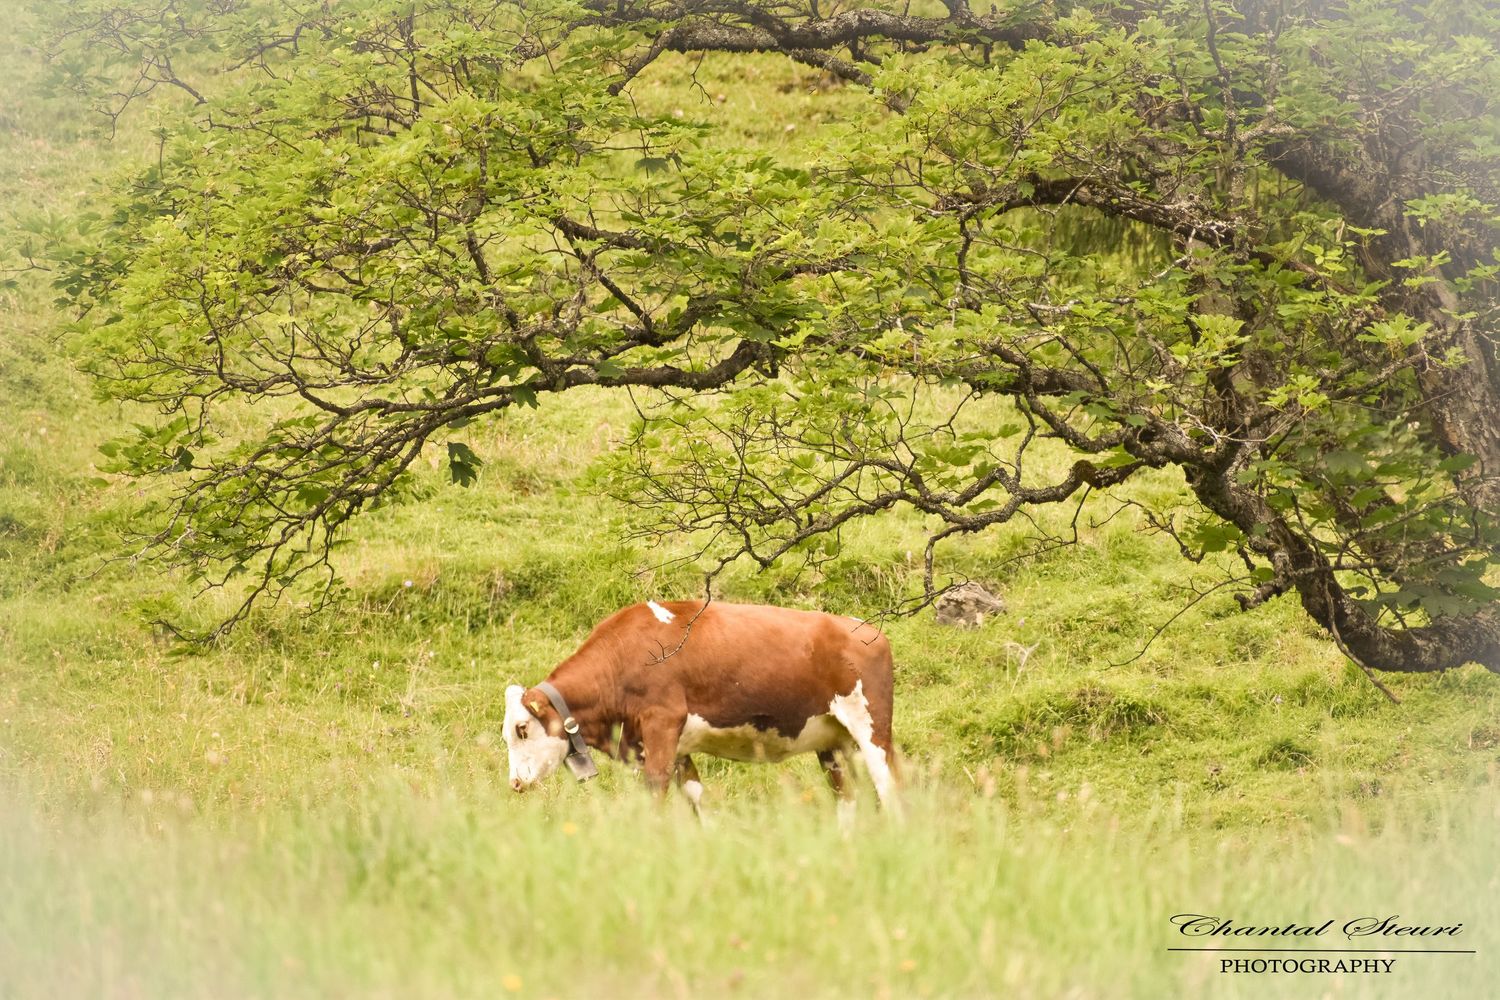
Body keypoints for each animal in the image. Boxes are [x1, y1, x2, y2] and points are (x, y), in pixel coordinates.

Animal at [502, 600, 898, 815]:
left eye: (522, 729)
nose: (515, 783)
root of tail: (863, 628)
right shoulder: (668, 746)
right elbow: (697, 797)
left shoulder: (662, 724)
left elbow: (655, 791)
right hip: (832, 743)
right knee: (847, 797)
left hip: (872, 729)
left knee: (891, 788)